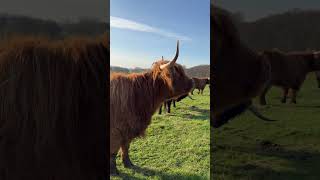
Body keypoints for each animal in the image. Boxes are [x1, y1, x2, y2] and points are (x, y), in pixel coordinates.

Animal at [110, 40, 195, 174]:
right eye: (178, 73)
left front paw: (128, 164)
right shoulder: (116, 130)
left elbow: (126, 147)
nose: (193, 81)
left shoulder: (128, 129)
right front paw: (113, 171)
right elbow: (114, 151)